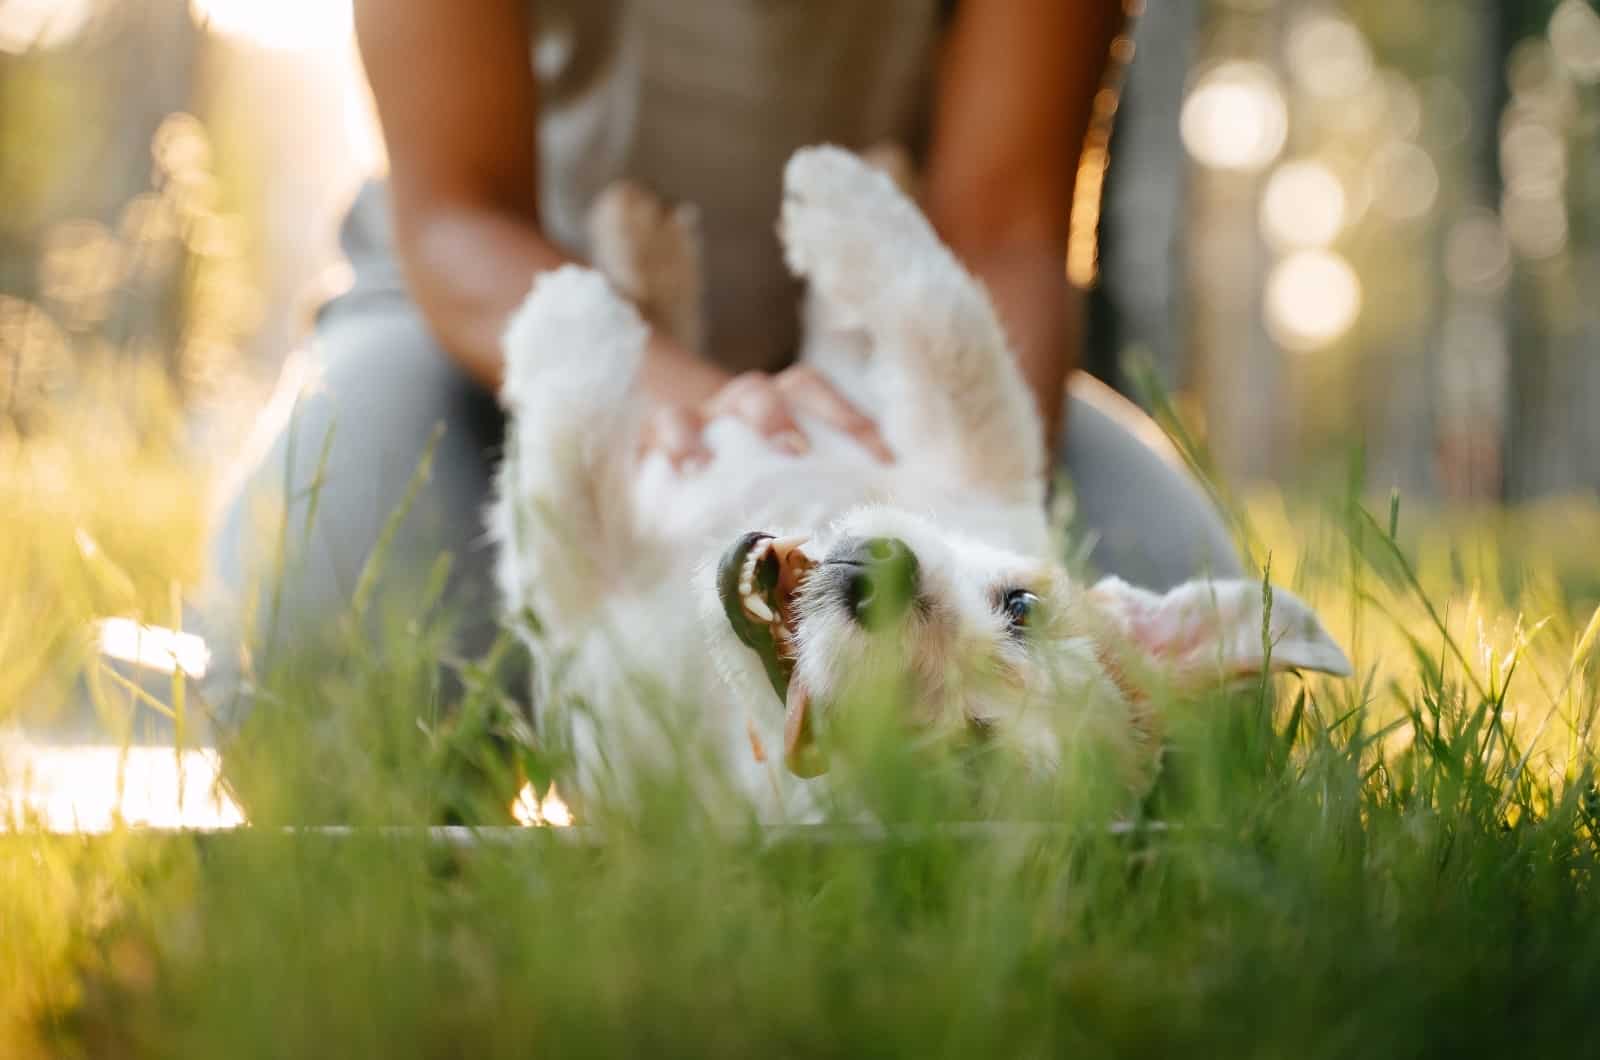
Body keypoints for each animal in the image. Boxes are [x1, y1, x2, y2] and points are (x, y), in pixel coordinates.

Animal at [489, 145, 1350, 819]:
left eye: (962, 756)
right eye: (1023, 608)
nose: (882, 576)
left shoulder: (570, 602)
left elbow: (562, 469)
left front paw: (568, 317)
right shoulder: (983, 455)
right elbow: (948, 321)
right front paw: (839, 193)